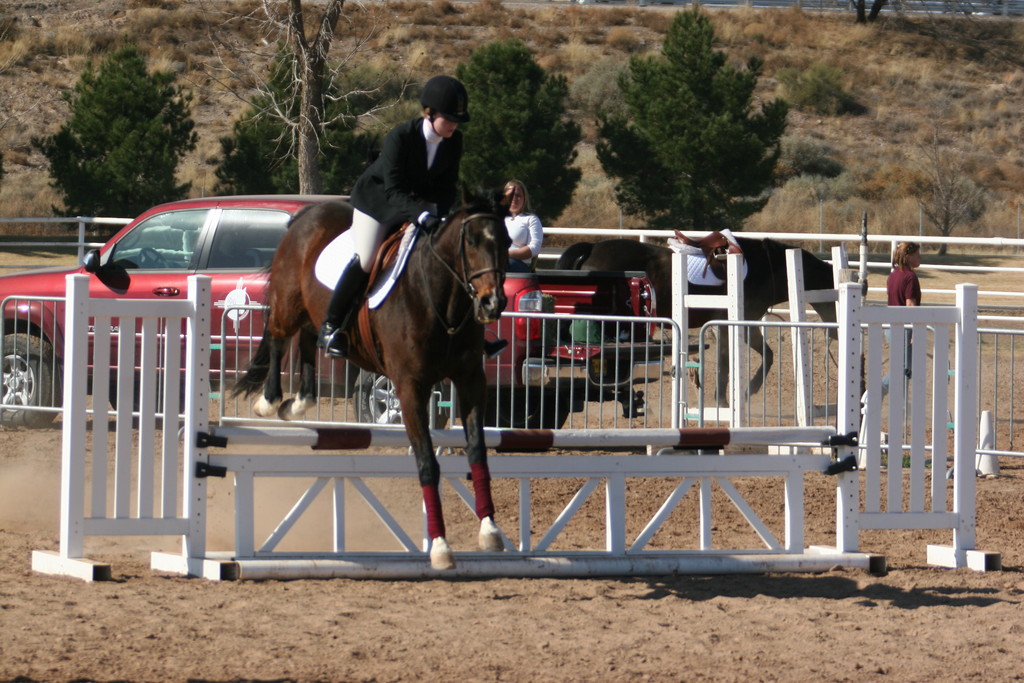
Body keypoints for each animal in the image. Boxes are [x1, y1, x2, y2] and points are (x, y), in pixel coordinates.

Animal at [235, 189, 516, 569]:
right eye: (470, 241)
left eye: (507, 241)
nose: (492, 303)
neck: (440, 299)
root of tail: (308, 214)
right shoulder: (410, 387)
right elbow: (427, 463)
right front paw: (440, 546)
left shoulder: (471, 379)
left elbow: (478, 452)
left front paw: (489, 530)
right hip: (288, 301)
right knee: (280, 334)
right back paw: (269, 401)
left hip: (311, 309)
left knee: (308, 337)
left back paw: (299, 402)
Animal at [557, 237, 835, 403]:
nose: (834, 333)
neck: (764, 268)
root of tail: (593, 248)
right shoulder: (730, 325)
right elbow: (727, 364)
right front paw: (724, 401)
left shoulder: (746, 324)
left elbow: (767, 355)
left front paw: (747, 391)